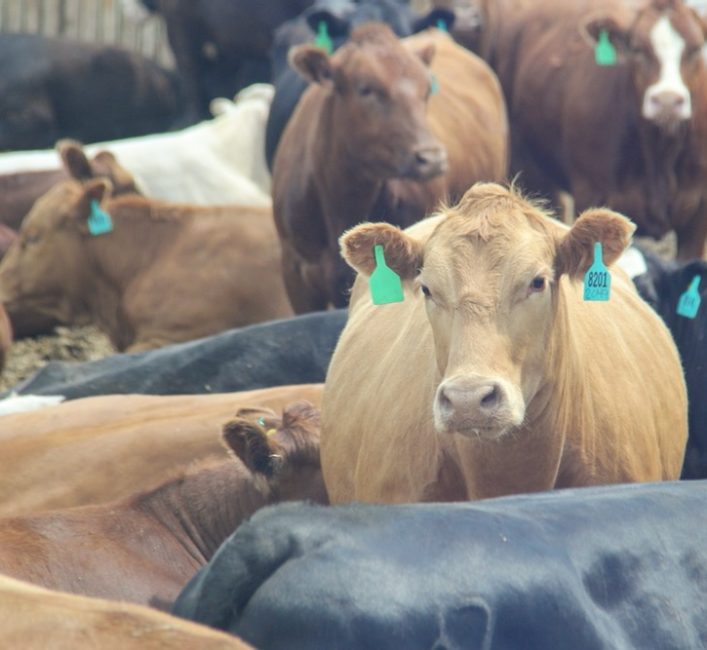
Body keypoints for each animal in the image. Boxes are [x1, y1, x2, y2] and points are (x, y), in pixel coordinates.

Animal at [473, 0, 707, 259]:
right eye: (638, 48)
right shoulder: (592, 193)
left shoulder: (697, 215)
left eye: (696, 48)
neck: (660, 153)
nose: (667, 100)